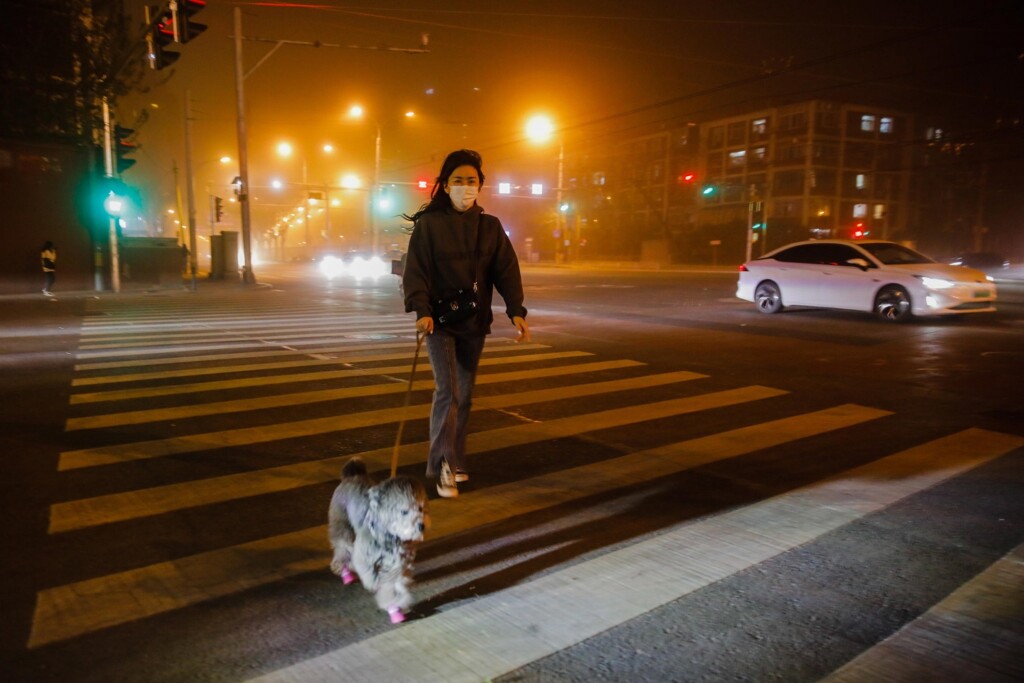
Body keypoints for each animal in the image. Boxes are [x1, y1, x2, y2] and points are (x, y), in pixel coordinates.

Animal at [325, 458, 425, 626]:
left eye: (421, 508)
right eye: (404, 511)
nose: (421, 525)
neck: (390, 536)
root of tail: (352, 475)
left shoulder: (397, 564)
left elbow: (392, 583)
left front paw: (395, 603)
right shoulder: (363, 556)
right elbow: (368, 573)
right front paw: (373, 584)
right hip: (341, 521)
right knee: (342, 545)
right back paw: (343, 567)